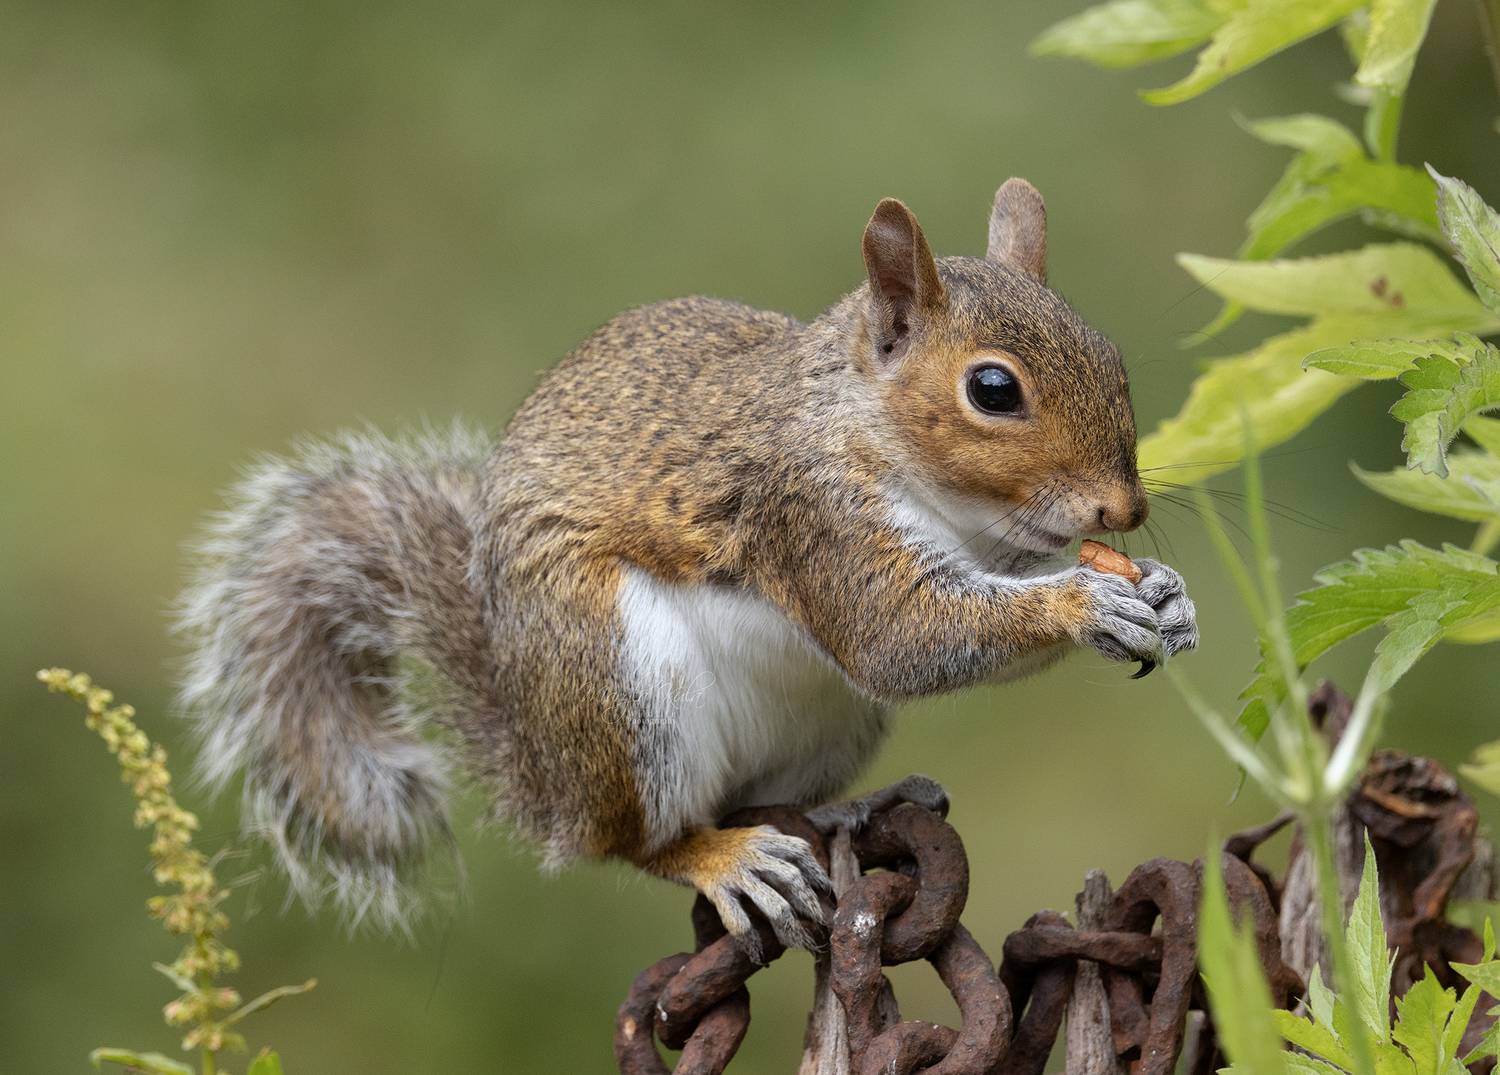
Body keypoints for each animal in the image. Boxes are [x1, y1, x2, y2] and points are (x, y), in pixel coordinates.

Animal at [178, 178, 1198, 955]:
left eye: (1109, 353)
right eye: (993, 389)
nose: (1124, 511)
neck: (863, 424)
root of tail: (549, 779)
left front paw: (1165, 596)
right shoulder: (808, 514)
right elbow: (899, 637)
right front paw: (1088, 604)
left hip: (825, 725)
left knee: (758, 798)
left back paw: (845, 813)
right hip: (622, 684)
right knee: (637, 841)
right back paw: (724, 858)